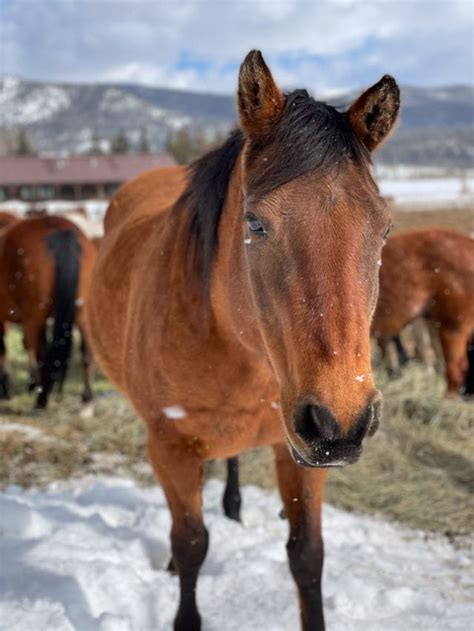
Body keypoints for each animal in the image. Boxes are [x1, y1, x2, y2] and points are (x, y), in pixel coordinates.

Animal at [0, 215, 97, 408]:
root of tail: (57, 229)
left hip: (35, 318)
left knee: (42, 354)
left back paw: (41, 400)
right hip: (82, 314)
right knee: (87, 352)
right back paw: (87, 396)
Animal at [86, 50, 400, 631]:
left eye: (385, 229)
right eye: (255, 224)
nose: (343, 421)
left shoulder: (299, 452)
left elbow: (307, 555)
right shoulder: (171, 447)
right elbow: (190, 543)